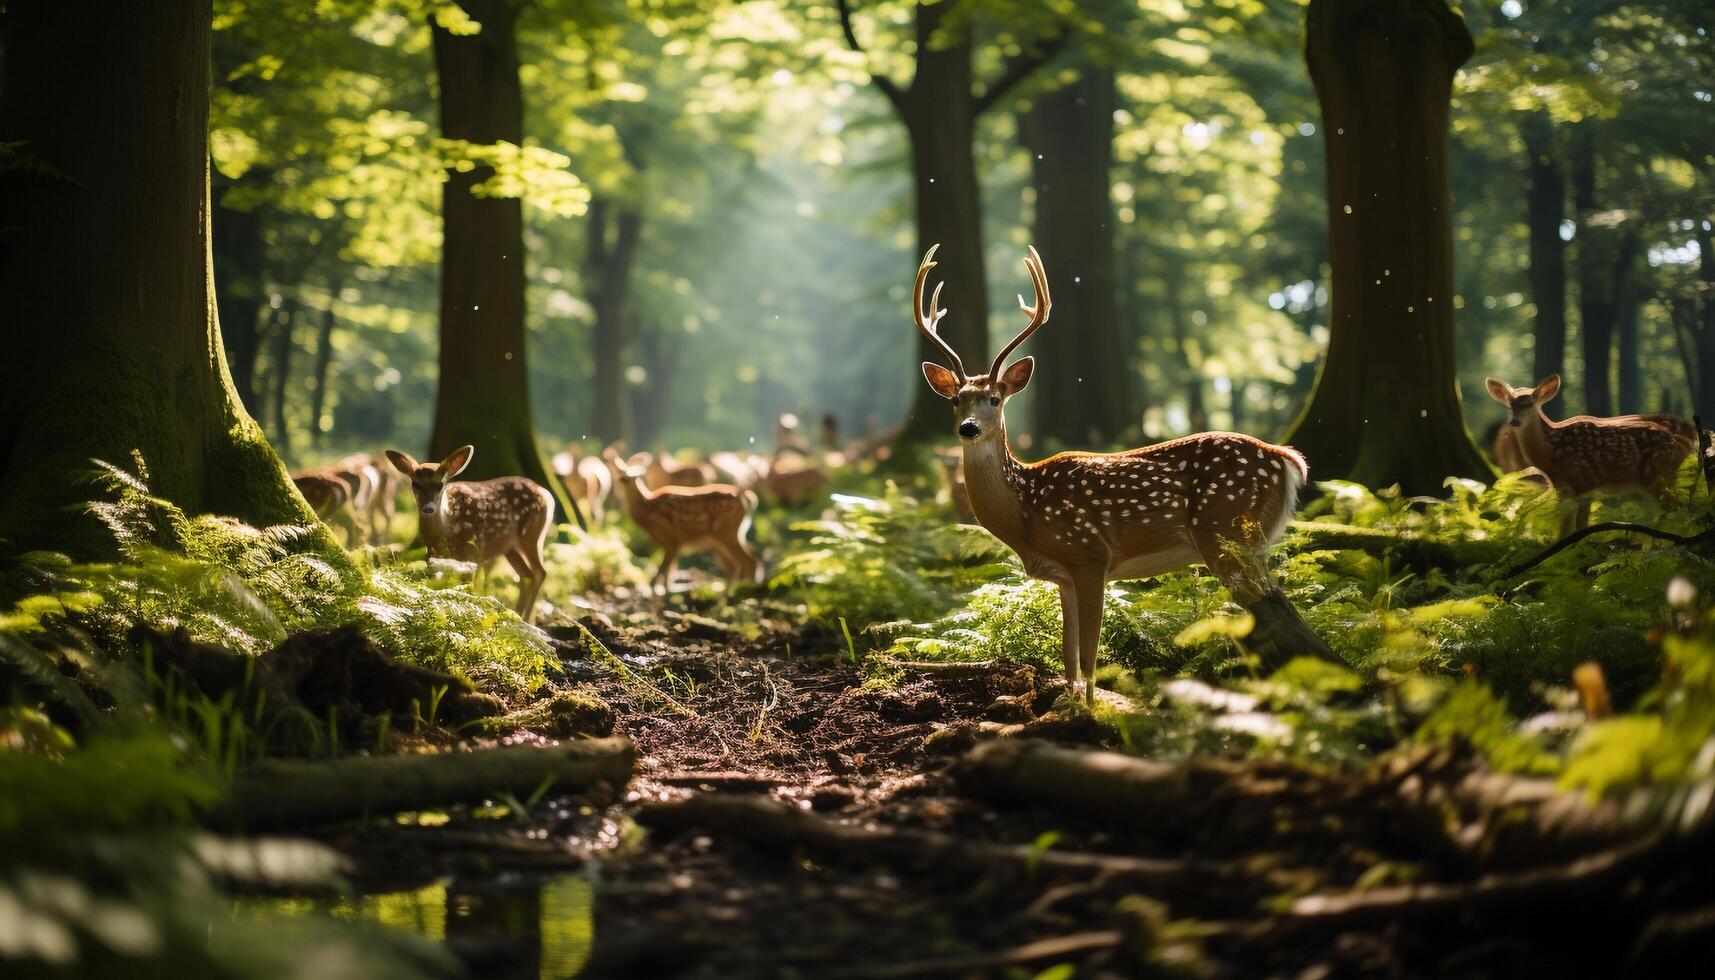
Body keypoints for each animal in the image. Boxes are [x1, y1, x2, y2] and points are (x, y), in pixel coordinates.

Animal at [385, 446, 552, 624]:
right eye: (415, 484)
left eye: (440, 484)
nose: (428, 508)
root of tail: (547, 494)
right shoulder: (434, 555)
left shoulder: (473, 552)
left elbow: (469, 587)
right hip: (510, 547)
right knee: (527, 575)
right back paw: (519, 615)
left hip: (532, 535)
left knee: (540, 572)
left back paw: (527, 618)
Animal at [607, 449, 761, 593]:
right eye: (623, 475)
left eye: (640, 475)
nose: (628, 479)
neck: (646, 509)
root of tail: (748, 498)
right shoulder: (671, 543)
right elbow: (667, 572)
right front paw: (666, 592)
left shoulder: (671, 539)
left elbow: (661, 573)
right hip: (726, 537)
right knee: (739, 564)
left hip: (727, 531)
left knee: (749, 562)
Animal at [912, 245, 1310, 707]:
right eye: (956, 400)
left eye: (995, 398)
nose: (969, 428)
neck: (1026, 511)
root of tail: (1287, 458)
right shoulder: (1062, 574)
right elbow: (1068, 656)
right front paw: (1068, 706)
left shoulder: (1089, 554)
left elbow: (1089, 655)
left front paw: (1091, 710)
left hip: (1226, 530)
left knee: (1278, 613)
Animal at [1481, 375, 1694, 532]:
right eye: (1511, 405)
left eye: (1530, 404)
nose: (1515, 422)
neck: (1551, 453)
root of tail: (1681, 443)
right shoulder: (1563, 490)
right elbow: (1565, 531)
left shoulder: (1585, 482)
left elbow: (1577, 528)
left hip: (1654, 473)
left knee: (1677, 506)